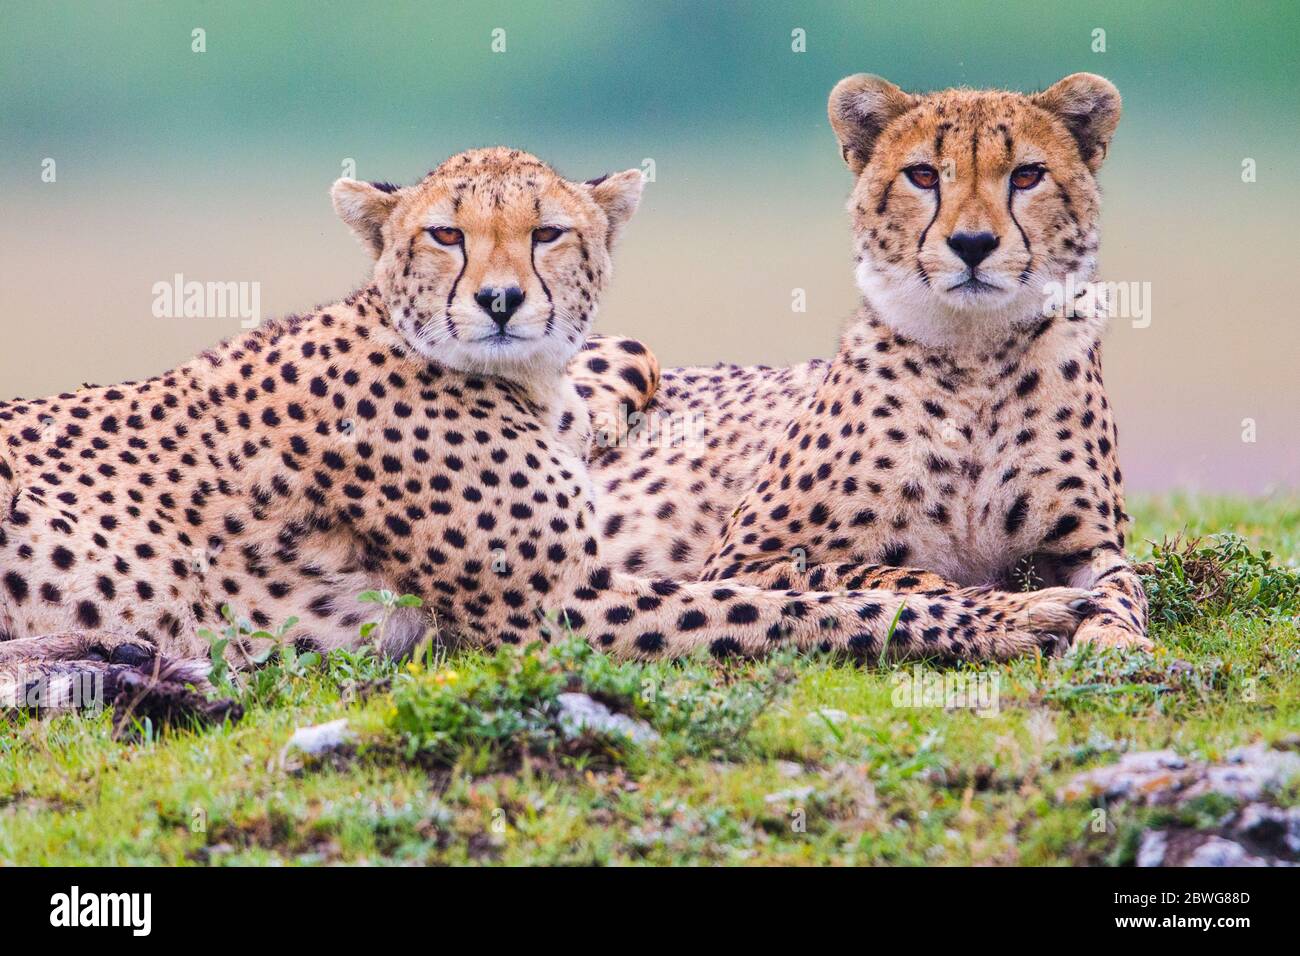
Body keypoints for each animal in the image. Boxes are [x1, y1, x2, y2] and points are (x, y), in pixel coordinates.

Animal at [2, 145, 1097, 707]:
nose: (498, 302)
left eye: (549, 232)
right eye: (445, 234)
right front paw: (1013, 617)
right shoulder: (551, 613)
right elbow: (789, 606)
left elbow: (625, 364)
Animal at [579, 74, 1149, 655]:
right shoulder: (741, 561)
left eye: (1027, 175)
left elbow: (1124, 587)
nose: (972, 244)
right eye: (923, 175)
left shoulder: (1088, 547)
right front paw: (1000, 610)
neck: (975, 357)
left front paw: (1114, 640)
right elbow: (888, 575)